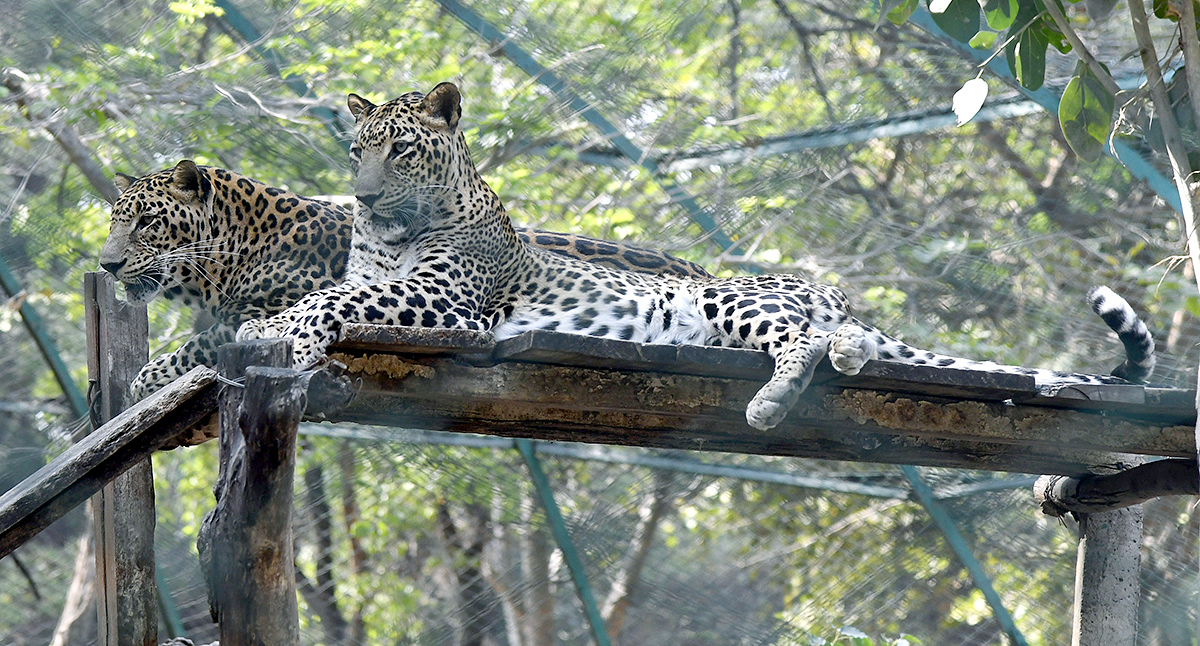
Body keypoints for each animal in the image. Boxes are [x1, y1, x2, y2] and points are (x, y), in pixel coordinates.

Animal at [100, 158, 710, 396]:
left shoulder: (268, 305)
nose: (107, 265)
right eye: (114, 222)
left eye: (147, 222)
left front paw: (145, 380)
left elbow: (198, 344)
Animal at [236, 82, 1161, 429]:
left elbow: (329, 303)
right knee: (834, 343)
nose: (363, 196)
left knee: (798, 343)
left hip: (732, 301)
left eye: (402, 151)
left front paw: (278, 334)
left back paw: (773, 402)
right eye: (356, 150)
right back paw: (845, 358)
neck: (395, 234)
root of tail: (823, 292)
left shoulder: (445, 303)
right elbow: (334, 294)